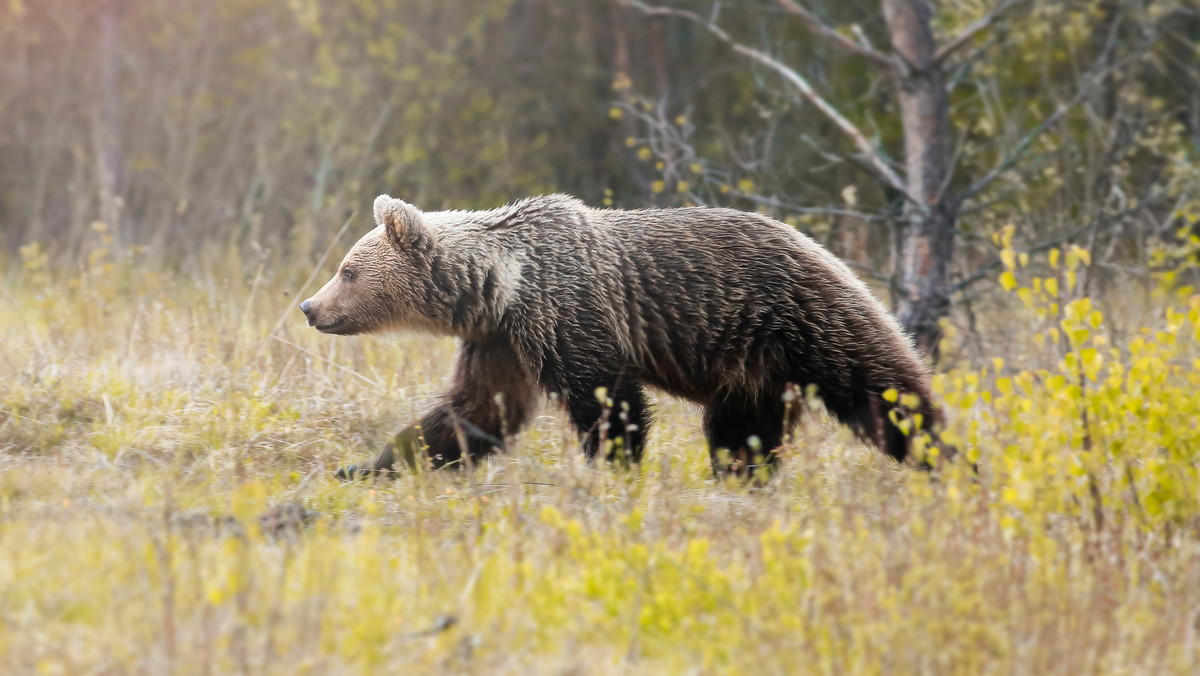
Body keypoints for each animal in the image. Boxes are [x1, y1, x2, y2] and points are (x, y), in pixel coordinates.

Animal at [300, 193, 936, 477]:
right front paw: (368, 465)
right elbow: (474, 411)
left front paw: (613, 471)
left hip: (804, 318)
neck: (502, 284)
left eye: (348, 270)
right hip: (754, 365)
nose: (309, 307)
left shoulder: (567, 314)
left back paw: (944, 458)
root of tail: (819, 245)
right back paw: (742, 477)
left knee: (886, 393)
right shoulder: (502, 340)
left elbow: (608, 402)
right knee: (741, 431)